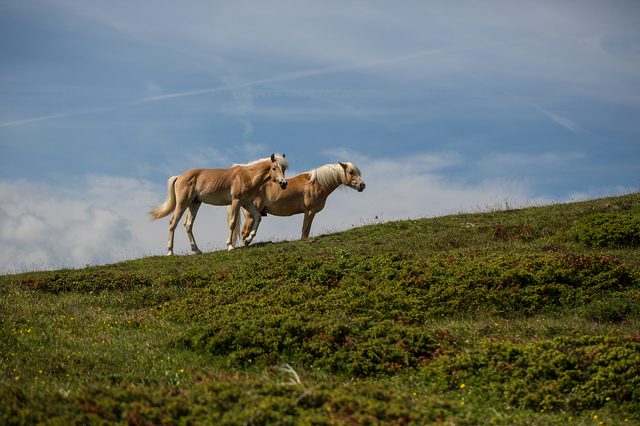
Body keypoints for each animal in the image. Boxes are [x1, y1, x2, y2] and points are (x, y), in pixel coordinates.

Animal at [148, 154, 288, 256]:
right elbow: (232, 222)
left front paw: (248, 239)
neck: (247, 176)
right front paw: (230, 245)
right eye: (274, 167)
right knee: (173, 222)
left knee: (188, 224)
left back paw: (197, 250)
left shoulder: (247, 203)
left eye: (284, 168)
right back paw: (170, 251)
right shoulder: (236, 202)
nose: (284, 183)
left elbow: (258, 217)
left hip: (194, 203)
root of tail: (179, 176)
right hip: (183, 203)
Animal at [228, 161, 362, 246]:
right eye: (351, 172)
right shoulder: (310, 211)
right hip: (250, 216)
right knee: (244, 233)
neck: (315, 184)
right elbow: (305, 230)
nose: (362, 185)